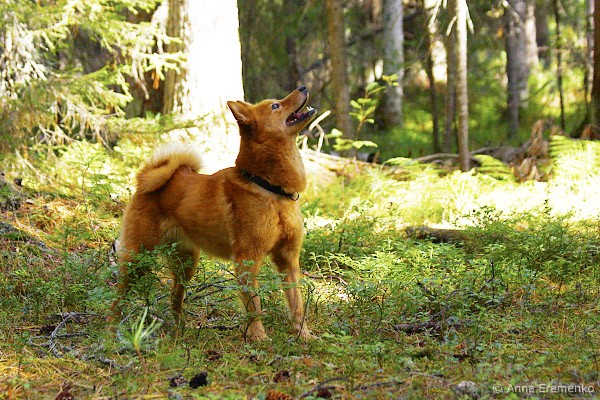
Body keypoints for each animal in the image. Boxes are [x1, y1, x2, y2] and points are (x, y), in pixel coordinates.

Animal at [111, 86, 317, 341]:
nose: (303, 87)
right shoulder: (247, 260)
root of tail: (148, 179)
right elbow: (254, 304)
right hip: (139, 257)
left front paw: (302, 334)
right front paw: (258, 337)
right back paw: (112, 331)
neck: (271, 189)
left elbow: (297, 302)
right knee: (118, 297)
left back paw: (181, 331)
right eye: (275, 106)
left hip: (186, 263)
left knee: (174, 296)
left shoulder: (288, 257)